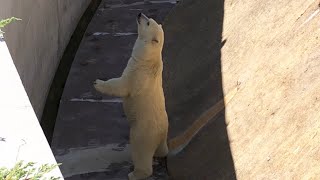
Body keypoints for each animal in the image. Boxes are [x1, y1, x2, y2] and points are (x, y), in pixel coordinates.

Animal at [94, 13, 239, 180]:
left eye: (148, 22)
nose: (139, 14)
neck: (148, 59)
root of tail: (163, 137)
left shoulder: (138, 73)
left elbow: (121, 86)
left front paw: (98, 83)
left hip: (143, 132)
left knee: (140, 151)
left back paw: (135, 173)